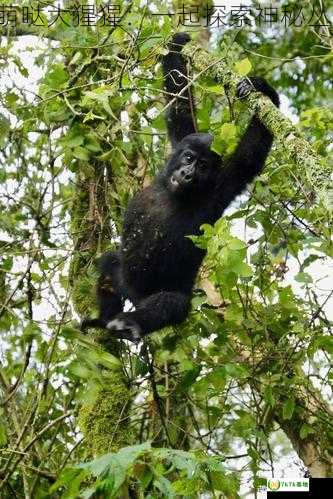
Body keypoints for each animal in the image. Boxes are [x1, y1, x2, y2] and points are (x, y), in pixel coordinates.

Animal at [81, 32, 278, 344]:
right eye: (188, 158)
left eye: (203, 167)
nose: (187, 174)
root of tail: (137, 298)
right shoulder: (181, 139)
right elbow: (179, 103)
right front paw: (178, 41)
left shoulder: (221, 187)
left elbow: (250, 155)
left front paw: (265, 92)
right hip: (126, 280)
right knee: (110, 263)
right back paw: (106, 320)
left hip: (158, 296)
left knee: (172, 302)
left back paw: (130, 324)